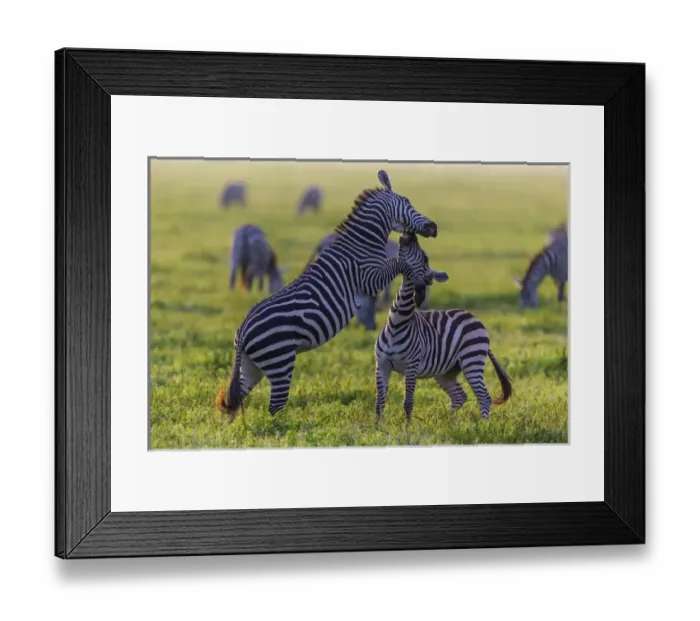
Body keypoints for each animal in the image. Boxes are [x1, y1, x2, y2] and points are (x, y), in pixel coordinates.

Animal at [216, 170, 438, 422]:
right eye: (408, 202)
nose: (433, 227)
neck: (361, 244)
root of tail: (242, 332)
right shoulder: (369, 278)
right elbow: (399, 263)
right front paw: (420, 282)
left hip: (252, 367)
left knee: (236, 399)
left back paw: (236, 428)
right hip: (280, 361)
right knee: (274, 407)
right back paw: (285, 428)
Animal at [375, 232, 512, 423]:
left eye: (425, 258)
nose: (410, 235)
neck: (397, 323)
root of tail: (474, 318)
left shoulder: (411, 366)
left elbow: (407, 402)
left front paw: (407, 427)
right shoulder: (382, 364)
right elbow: (379, 402)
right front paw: (377, 426)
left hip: (472, 360)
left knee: (484, 397)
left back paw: (483, 425)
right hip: (446, 372)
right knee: (460, 396)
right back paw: (453, 422)